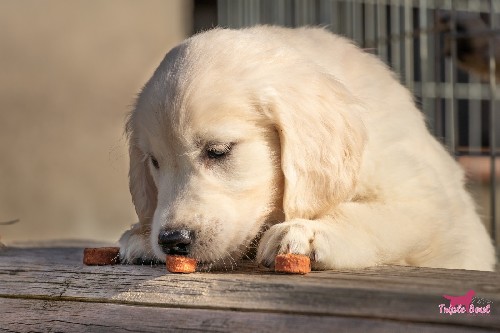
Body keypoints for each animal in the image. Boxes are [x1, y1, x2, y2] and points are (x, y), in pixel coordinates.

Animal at [118, 25, 496, 270]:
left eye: (219, 150)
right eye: (154, 161)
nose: (171, 240)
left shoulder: (427, 201)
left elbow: (375, 215)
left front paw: (308, 231)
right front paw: (142, 236)